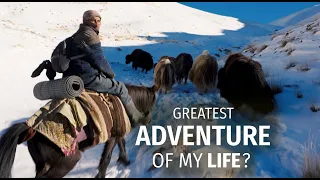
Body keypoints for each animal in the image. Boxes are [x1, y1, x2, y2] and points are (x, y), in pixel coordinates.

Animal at [0, 84, 158, 177]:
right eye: (152, 104)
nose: (149, 121)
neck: (124, 104)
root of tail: (32, 127)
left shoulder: (117, 133)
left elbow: (122, 144)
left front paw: (124, 160)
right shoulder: (113, 136)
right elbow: (106, 158)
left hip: (43, 164)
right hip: (67, 162)